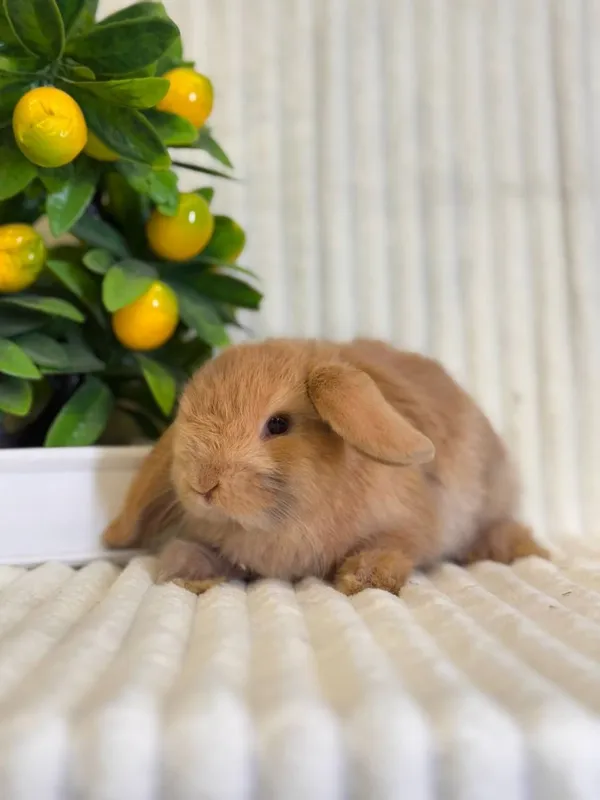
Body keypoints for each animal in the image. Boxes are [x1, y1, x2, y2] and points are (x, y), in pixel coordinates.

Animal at [102, 338, 549, 595]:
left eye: (278, 424)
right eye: (185, 417)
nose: (202, 483)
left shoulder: (410, 524)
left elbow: (395, 545)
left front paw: (363, 578)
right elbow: (187, 550)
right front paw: (187, 576)